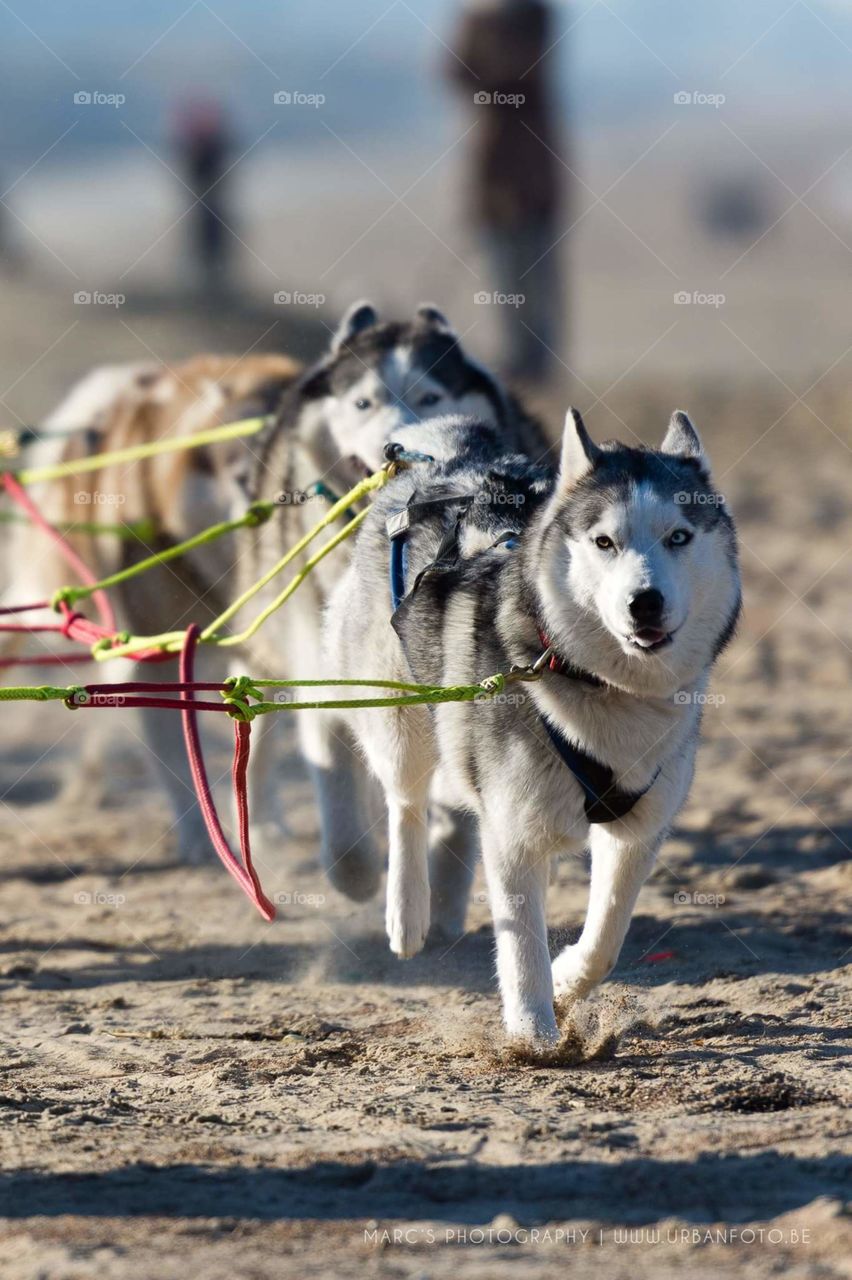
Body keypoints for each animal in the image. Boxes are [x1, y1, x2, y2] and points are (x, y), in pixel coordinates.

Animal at [322, 408, 741, 1044]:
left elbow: (607, 937)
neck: (601, 686)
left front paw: (567, 979)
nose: (644, 602)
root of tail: (449, 461)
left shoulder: (638, 829)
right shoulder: (512, 830)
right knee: (406, 801)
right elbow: (521, 942)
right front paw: (533, 1035)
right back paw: (408, 913)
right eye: (603, 541)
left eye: (679, 537)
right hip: (399, 713)